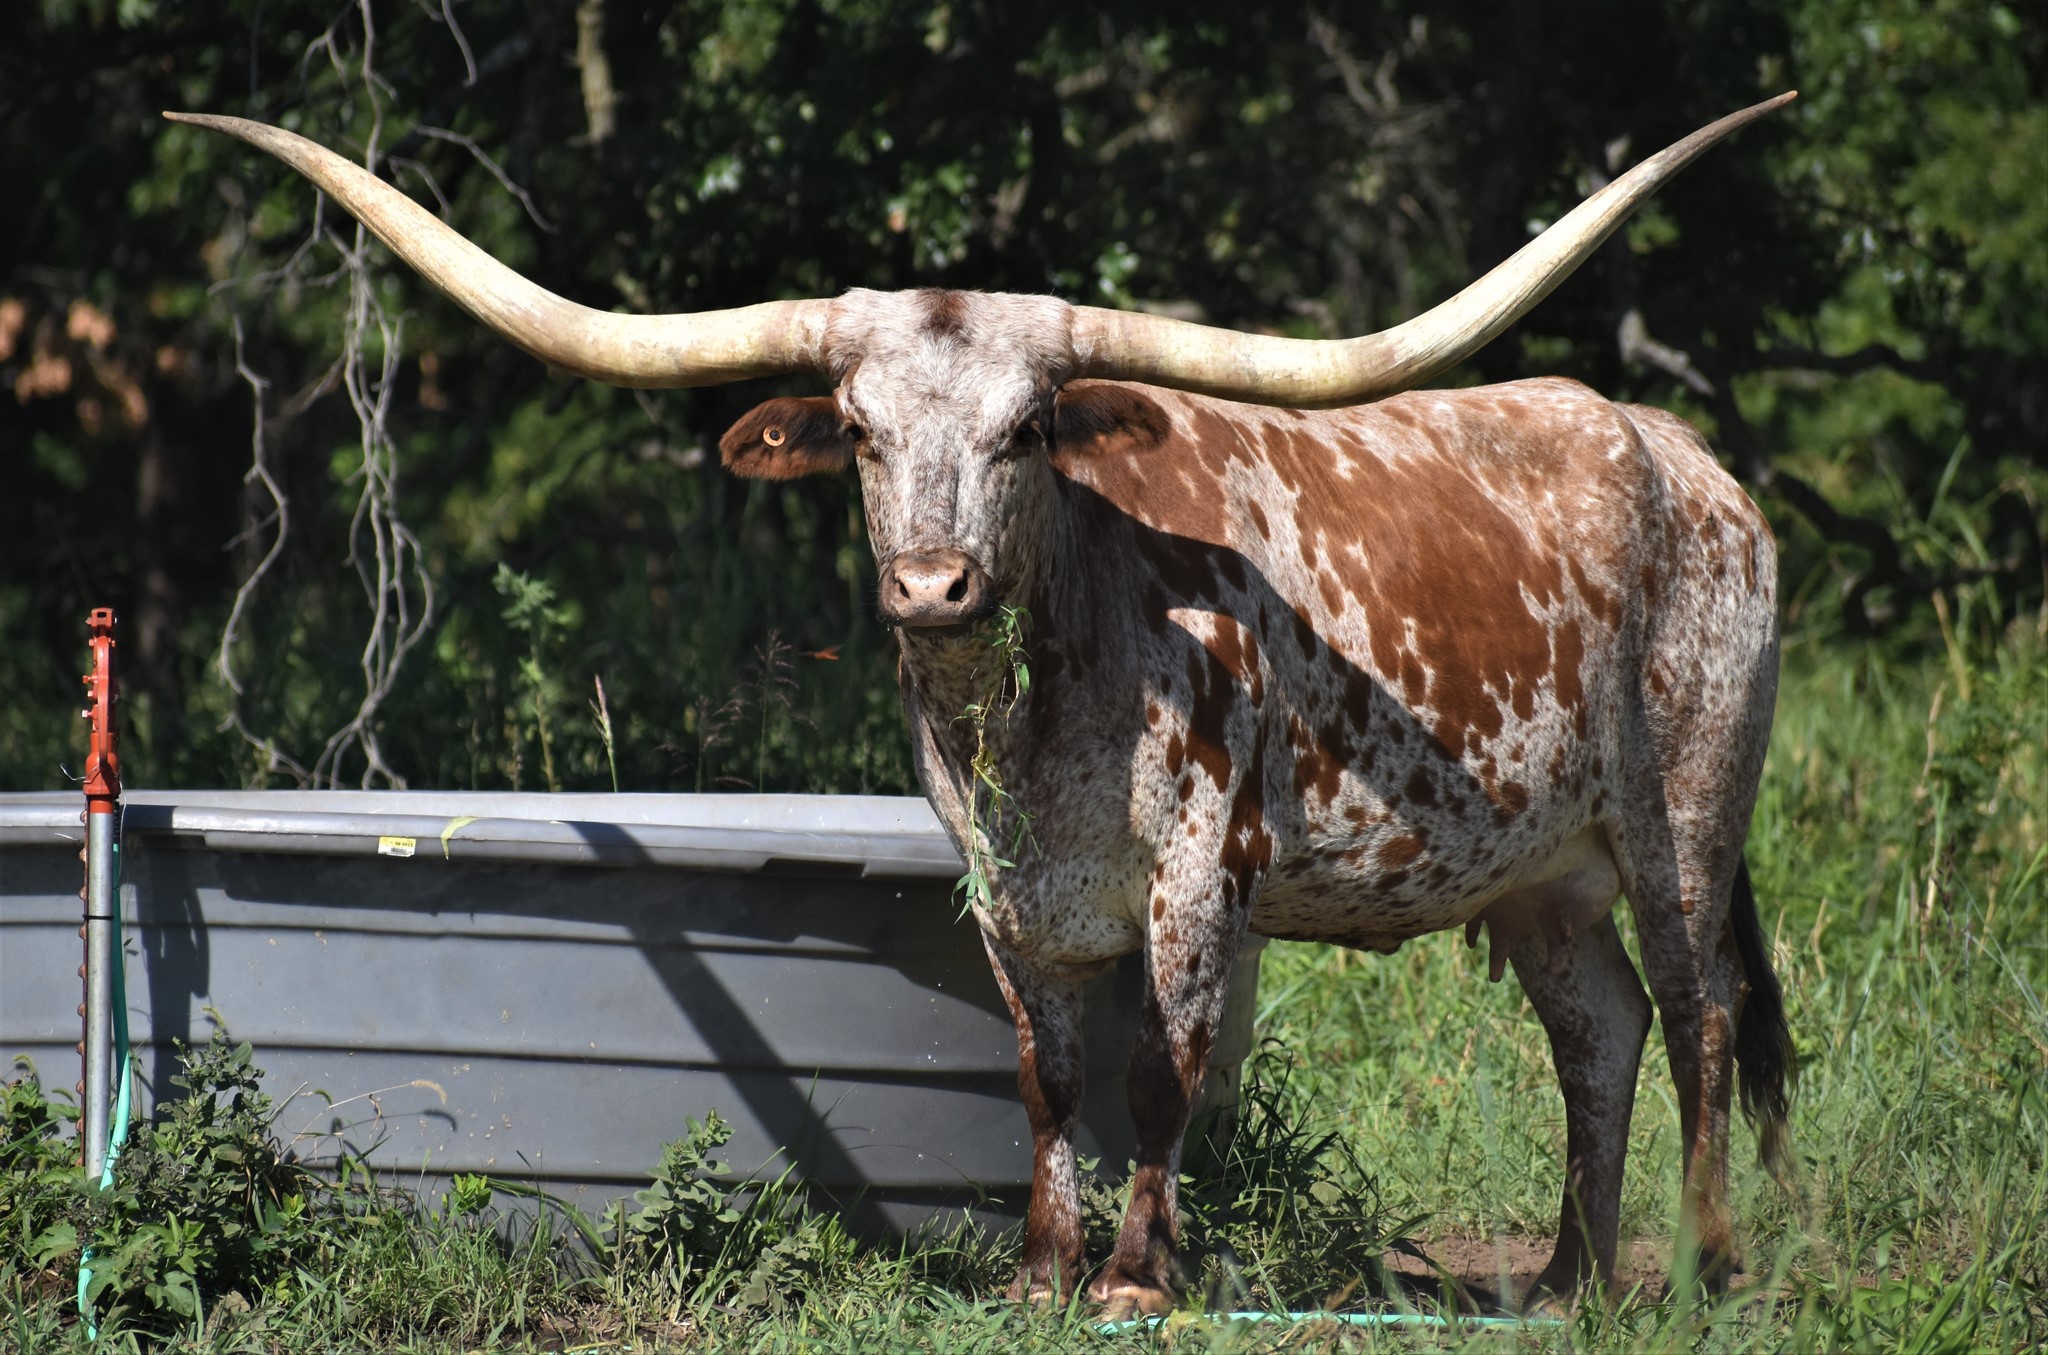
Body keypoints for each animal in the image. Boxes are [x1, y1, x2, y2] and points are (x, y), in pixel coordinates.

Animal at [169, 93, 1796, 1315]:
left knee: (1702, 1012)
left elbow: (1160, 1067)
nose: (934, 585)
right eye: (860, 432)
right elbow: (1046, 1073)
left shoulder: (1200, 870)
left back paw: (1703, 1264)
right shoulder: (1004, 886)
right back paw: (1568, 1277)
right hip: (1536, 876)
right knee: (1600, 1030)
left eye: (1025, 430)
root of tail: (1676, 452)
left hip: (1685, 816)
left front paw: (1136, 1275)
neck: (1048, 691)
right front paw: (1040, 1266)